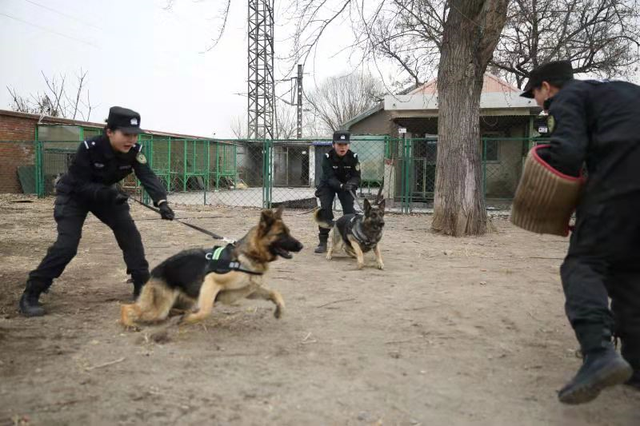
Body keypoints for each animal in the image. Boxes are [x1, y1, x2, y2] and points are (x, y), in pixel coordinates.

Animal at [120, 206, 304, 326]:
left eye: (289, 232)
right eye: (281, 234)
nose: (301, 246)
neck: (249, 255)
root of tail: (155, 271)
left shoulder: (250, 290)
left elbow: (275, 293)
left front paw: (279, 310)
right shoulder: (211, 282)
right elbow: (206, 310)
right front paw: (191, 320)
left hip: (179, 303)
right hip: (158, 309)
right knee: (127, 307)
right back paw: (129, 323)